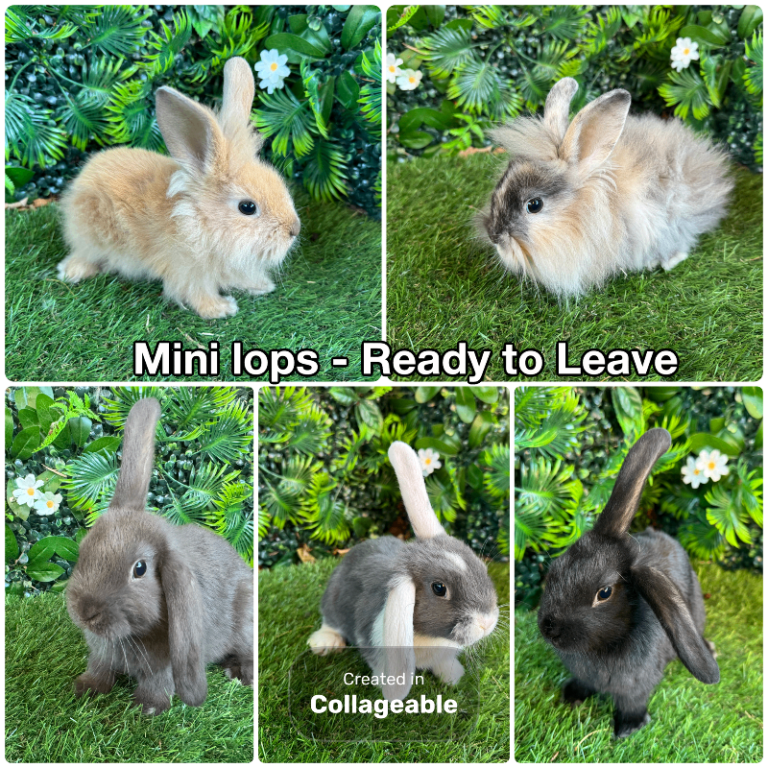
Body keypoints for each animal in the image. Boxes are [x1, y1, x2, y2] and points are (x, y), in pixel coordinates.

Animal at [57, 57, 300, 319]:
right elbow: (198, 294)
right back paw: (70, 272)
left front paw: (261, 286)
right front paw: (222, 309)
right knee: (85, 254)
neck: (202, 220)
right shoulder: (189, 271)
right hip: (90, 235)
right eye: (247, 207)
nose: (294, 230)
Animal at [66, 398, 253, 715]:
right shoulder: (101, 654)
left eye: (140, 569)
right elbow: (99, 668)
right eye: (85, 548)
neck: (129, 635)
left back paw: (240, 674)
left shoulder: (165, 664)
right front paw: (85, 689)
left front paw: (147, 708)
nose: (85, 612)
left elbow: (158, 682)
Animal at [308, 441, 499, 701]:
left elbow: (445, 664)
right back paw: (325, 643)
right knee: (330, 620)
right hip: (334, 598)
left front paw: (453, 677)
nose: (487, 623)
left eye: (480, 566)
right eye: (439, 588)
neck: (430, 638)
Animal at [537, 428, 720, 738]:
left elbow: (632, 703)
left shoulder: (636, 688)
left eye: (604, 593)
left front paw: (628, 729)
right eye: (556, 568)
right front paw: (571, 696)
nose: (549, 628)